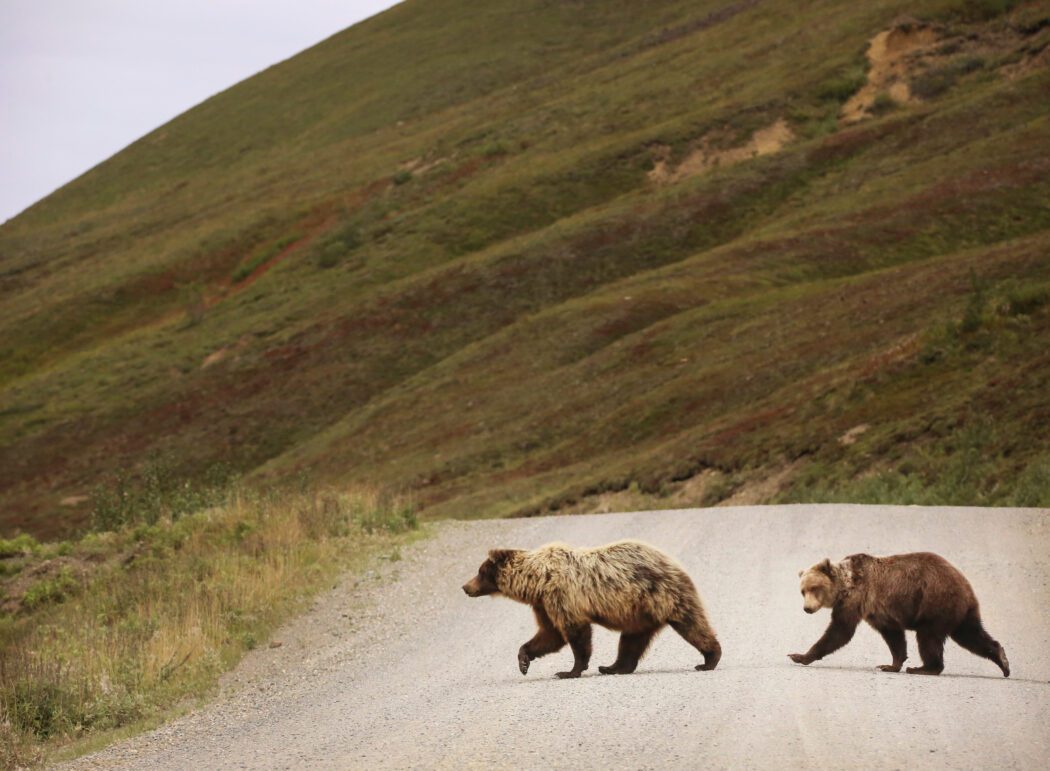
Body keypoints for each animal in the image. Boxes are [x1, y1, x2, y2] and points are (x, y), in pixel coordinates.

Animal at [461, 542, 722, 680]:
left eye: (480, 572)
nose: (465, 587)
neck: (537, 582)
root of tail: (673, 563)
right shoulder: (544, 604)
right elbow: (549, 635)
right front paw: (523, 661)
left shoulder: (562, 596)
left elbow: (575, 634)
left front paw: (569, 670)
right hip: (639, 613)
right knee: (631, 641)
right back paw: (613, 667)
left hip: (663, 596)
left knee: (691, 624)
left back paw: (709, 660)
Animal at [789, 554, 1007, 676]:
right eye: (802, 591)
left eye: (814, 588)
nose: (806, 608)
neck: (845, 585)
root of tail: (965, 586)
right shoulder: (877, 611)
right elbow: (893, 636)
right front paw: (891, 664)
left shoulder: (857, 598)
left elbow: (840, 631)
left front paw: (799, 656)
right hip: (960, 612)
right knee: (971, 635)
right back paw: (1002, 660)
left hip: (936, 603)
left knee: (928, 638)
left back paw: (925, 668)